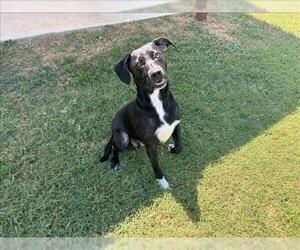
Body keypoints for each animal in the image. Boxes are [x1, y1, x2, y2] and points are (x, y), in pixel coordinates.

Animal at [99, 37, 182, 189]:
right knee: (114, 146)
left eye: (157, 55)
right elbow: (156, 166)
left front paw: (173, 148)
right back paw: (115, 161)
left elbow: (180, 146)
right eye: (139, 64)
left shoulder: (176, 125)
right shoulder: (150, 146)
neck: (157, 102)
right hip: (123, 139)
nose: (156, 73)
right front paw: (162, 182)